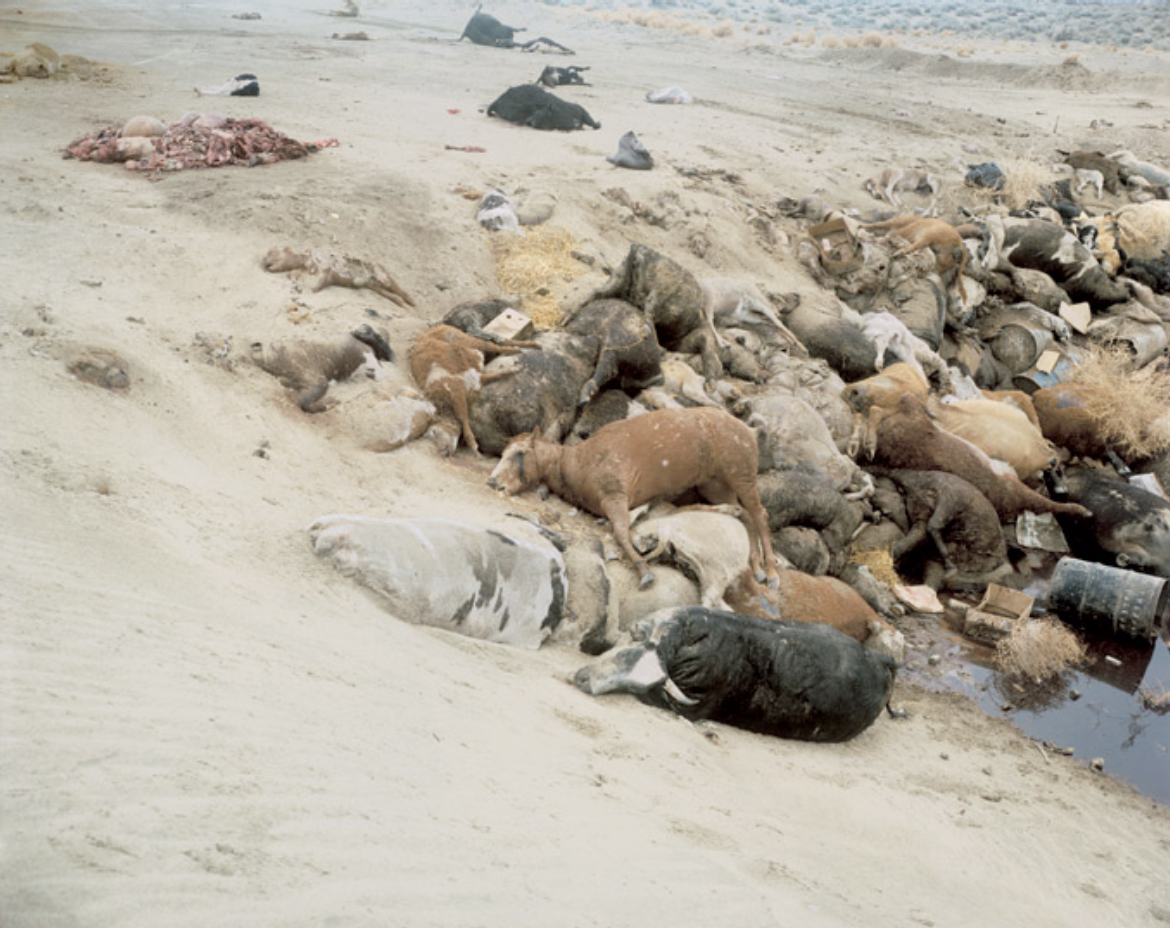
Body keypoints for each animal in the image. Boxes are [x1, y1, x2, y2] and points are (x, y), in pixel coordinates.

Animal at [484, 404, 776, 587]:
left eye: (519, 453)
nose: (492, 481)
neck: (577, 463)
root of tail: (750, 431)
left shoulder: (615, 496)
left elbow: (621, 533)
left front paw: (643, 569)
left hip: (742, 477)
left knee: (759, 514)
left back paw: (771, 571)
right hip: (716, 487)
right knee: (744, 515)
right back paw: (757, 567)